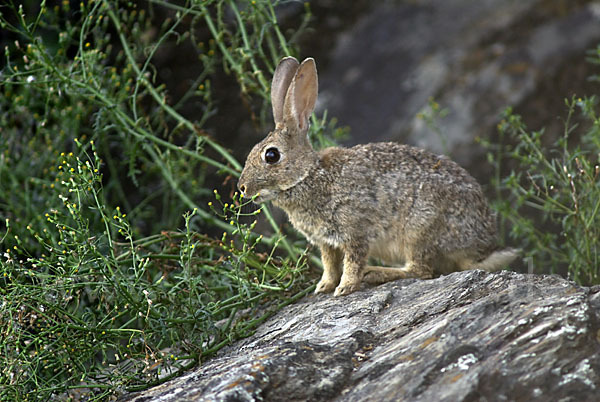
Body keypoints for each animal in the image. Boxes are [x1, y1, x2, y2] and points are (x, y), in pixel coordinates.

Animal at [237, 55, 516, 296]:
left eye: (271, 155)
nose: (242, 188)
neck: (308, 176)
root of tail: (483, 246)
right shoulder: (327, 243)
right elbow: (330, 265)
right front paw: (323, 287)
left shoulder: (355, 230)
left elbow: (353, 262)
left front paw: (345, 288)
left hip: (420, 230)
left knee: (421, 270)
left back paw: (376, 273)